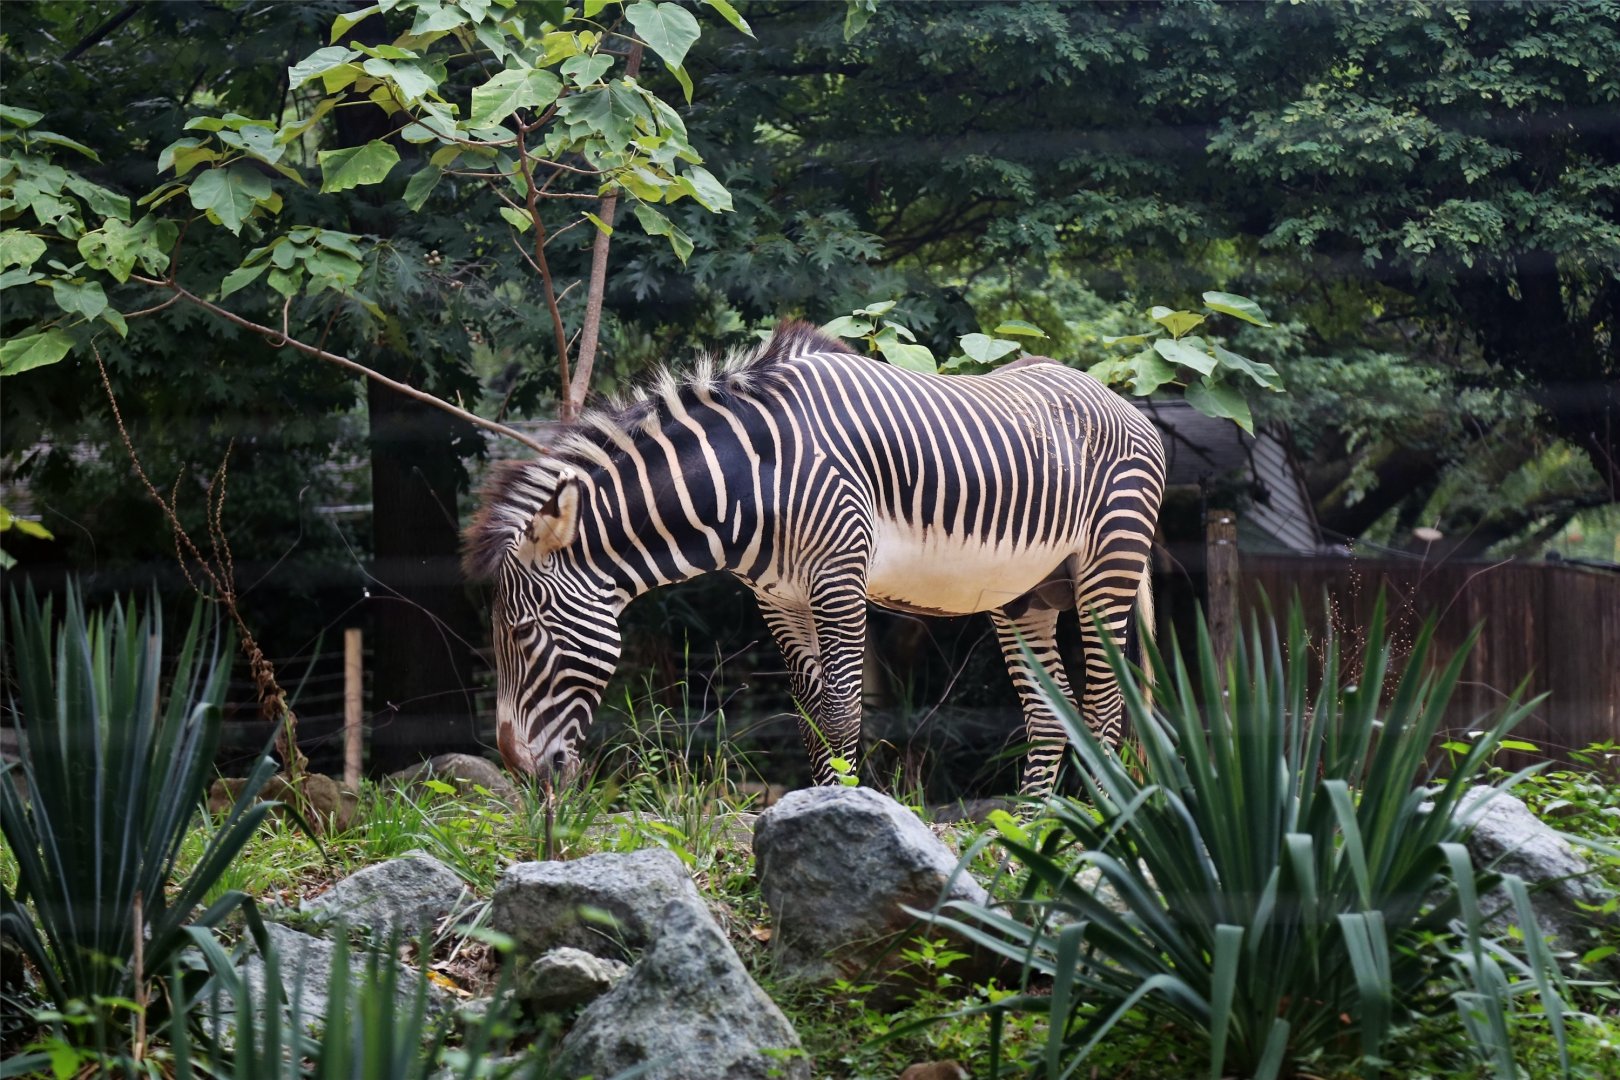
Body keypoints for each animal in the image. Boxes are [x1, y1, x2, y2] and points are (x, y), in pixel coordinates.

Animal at [464, 322, 1165, 798]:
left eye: (522, 634)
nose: (518, 769)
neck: (754, 478)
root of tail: (1114, 395)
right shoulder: (779, 598)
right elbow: (808, 717)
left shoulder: (839, 577)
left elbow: (842, 711)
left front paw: (845, 817)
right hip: (1027, 593)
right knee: (1051, 715)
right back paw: (1031, 832)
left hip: (1108, 567)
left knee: (1107, 705)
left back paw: (1106, 835)